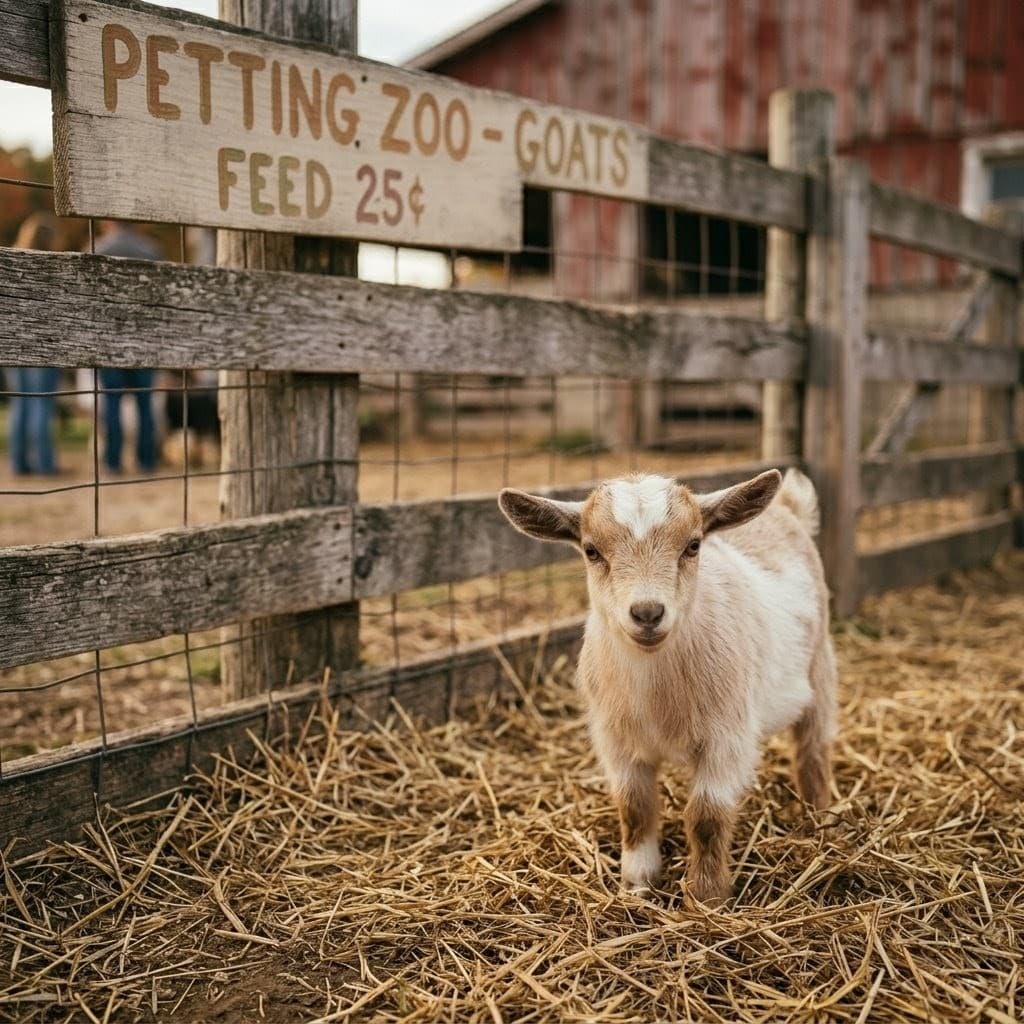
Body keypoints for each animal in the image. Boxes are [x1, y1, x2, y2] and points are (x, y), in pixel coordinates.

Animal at [498, 468, 837, 904]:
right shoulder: (617, 742)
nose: (647, 613)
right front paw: (636, 886)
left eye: (693, 545)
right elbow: (634, 809)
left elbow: (707, 817)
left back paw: (818, 818)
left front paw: (707, 898)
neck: (654, 687)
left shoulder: (725, 738)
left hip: (821, 667)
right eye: (591, 551)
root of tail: (787, 508)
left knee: (813, 750)